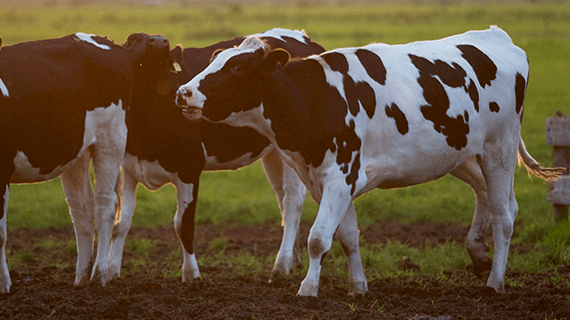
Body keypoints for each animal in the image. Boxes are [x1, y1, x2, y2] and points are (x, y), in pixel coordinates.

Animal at [0, 31, 173, 292]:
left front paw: (3, 284)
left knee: (105, 204)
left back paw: (99, 273)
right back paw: (81, 277)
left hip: (110, 139)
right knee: (82, 209)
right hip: (76, 153)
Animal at [106, 28, 324, 284]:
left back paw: (281, 265)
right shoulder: (128, 169)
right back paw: (293, 259)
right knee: (282, 199)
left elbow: (183, 225)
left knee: (291, 202)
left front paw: (191, 275)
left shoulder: (189, 168)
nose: (160, 41)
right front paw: (111, 272)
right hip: (274, 153)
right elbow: (121, 223)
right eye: (132, 40)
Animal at [175, 26, 560, 296]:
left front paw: (308, 289)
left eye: (237, 67)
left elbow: (318, 238)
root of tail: (496, 36)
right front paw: (357, 287)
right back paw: (479, 255)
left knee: (504, 215)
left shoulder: (340, 175)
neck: (316, 97)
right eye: (213, 60)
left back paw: (495, 282)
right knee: (489, 197)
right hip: (461, 152)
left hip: (499, 148)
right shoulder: (327, 180)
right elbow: (347, 236)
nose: (183, 92)